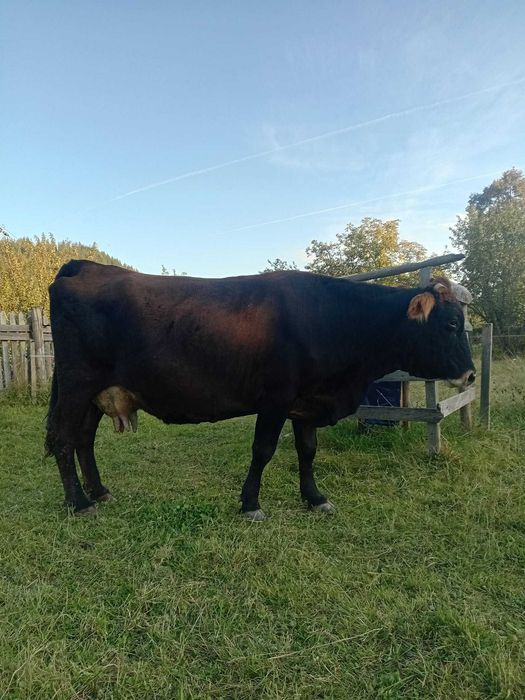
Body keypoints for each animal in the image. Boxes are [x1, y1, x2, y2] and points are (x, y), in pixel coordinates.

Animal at [46, 260, 475, 520]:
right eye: (452, 324)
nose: (471, 376)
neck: (333, 317)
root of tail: (85, 267)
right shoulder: (275, 398)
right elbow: (263, 450)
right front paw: (251, 503)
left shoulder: (307, 402)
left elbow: (307, 451)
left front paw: (314, 498)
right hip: (77, 384)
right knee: (65, 439)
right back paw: (78, 502)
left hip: (96, 393)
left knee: (84, 439)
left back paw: (99, 491)